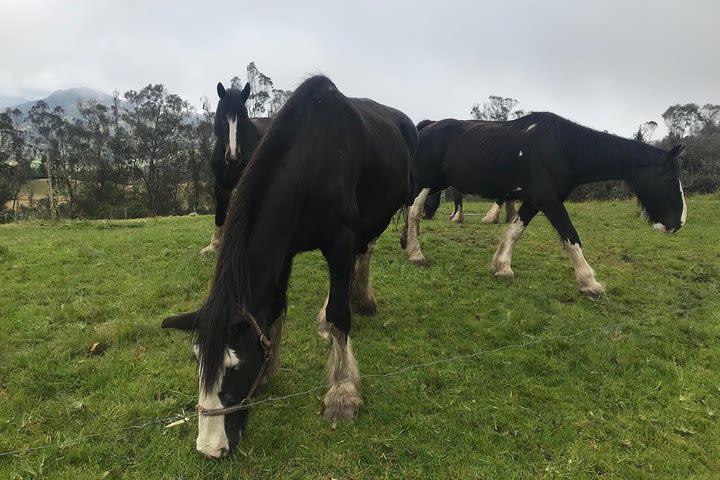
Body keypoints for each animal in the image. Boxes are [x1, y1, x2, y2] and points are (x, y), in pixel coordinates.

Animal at [202, 82, 272, 255]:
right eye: (222, 115)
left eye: (244, 116)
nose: (233, 156)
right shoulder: (220, 185)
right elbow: (221, 213)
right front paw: (214, 245)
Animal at [402, 112, 688, 296]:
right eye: (670, 178)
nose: (679, 223)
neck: (564, 148)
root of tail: (426, 127)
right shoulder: (550, 201)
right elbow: (571, 236)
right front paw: (589, 282)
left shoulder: (535, 200)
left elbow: (515, 230)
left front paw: (502, 266)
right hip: (427, 184)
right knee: (413, 211)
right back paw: (416, 253)